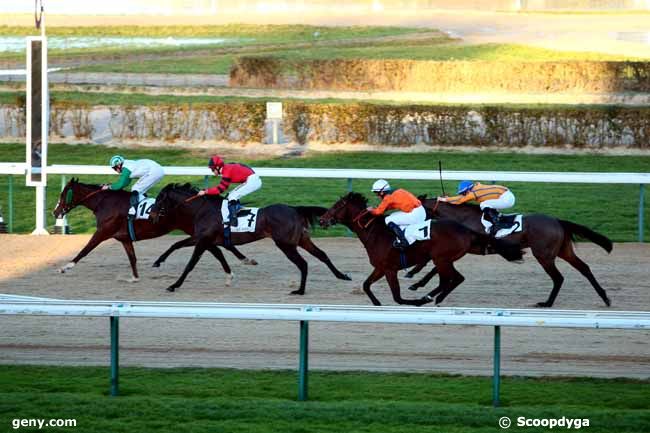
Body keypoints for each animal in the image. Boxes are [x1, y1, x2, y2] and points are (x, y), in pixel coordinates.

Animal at [52, 177, 253, 282]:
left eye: (63, 195)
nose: (55, 212)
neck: (104, 202)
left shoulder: (102, 232)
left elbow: (85, 249)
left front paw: (65, 267)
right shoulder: (124, 238)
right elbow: (132, 258)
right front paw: (135, 278)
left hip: (196, 231)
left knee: (217, 247)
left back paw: (243, 261)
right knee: (218, 248)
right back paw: (242, 262)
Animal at [148, 182, 350, 294]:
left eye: (159, 199)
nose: (151, 215)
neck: (201, 210)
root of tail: (295, 209)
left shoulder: (203, 239)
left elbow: (190, 263)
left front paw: (173, 285)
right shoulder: (205, 239)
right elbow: (177, 245)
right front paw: (158, 262)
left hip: (286, 244)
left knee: (303, 264)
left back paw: (300, 291)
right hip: (301, 240)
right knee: (322, 255)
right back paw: (342, 275)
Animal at [316, 192, 524, 308]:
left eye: (337, 206)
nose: (322, 220)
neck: (374, 232)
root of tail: (466, 229)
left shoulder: (390, 269)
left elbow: (398, 297)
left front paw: (416, 301)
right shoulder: (380, 268)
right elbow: (366, 285)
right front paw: (376, 303)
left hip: (442, 259)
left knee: (452, 279)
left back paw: (430, 296)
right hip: (444, 260)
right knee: (452, 279)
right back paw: (432, 295)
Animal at [404, 196, 612, 308]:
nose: (415, 226)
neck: (463, 220)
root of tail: (558, 221)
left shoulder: (465, 249)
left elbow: (435, 266)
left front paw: (416, 281)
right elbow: (436, 267)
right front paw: (416, 281)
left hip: (544, 255)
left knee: (558, 277)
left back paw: (546, 303)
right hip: (564, 251)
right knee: (584, 268)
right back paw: (605, 298)